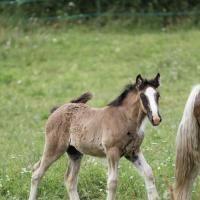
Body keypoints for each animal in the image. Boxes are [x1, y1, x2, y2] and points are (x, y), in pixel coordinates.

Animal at [28, 73, 162, 200]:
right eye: (143, 96)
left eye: (158, 95)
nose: (156, 119)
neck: (124, 118)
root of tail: (56, 110)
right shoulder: (112, 151)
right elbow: (112, 182)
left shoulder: (133, 152)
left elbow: (149, 173)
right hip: (54, 148)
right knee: (36, 172)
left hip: (75, 153)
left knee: (70, 180)